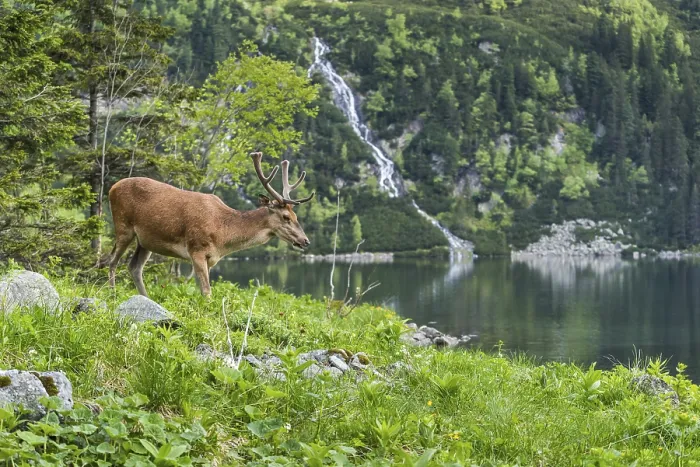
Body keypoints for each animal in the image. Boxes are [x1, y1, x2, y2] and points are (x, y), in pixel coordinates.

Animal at [107, 152, 314, 297]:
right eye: (286, 216)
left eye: (296, 215)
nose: (305, 241)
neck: (223, 235)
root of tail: (112, 188)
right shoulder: (196, 249)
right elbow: (207, 292)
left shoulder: (212, 258)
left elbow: (203, 289)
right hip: (123, 225)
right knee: (111, 261)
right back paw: (113, 294)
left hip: (145, 241)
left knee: (134, 267)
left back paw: (146, 297)